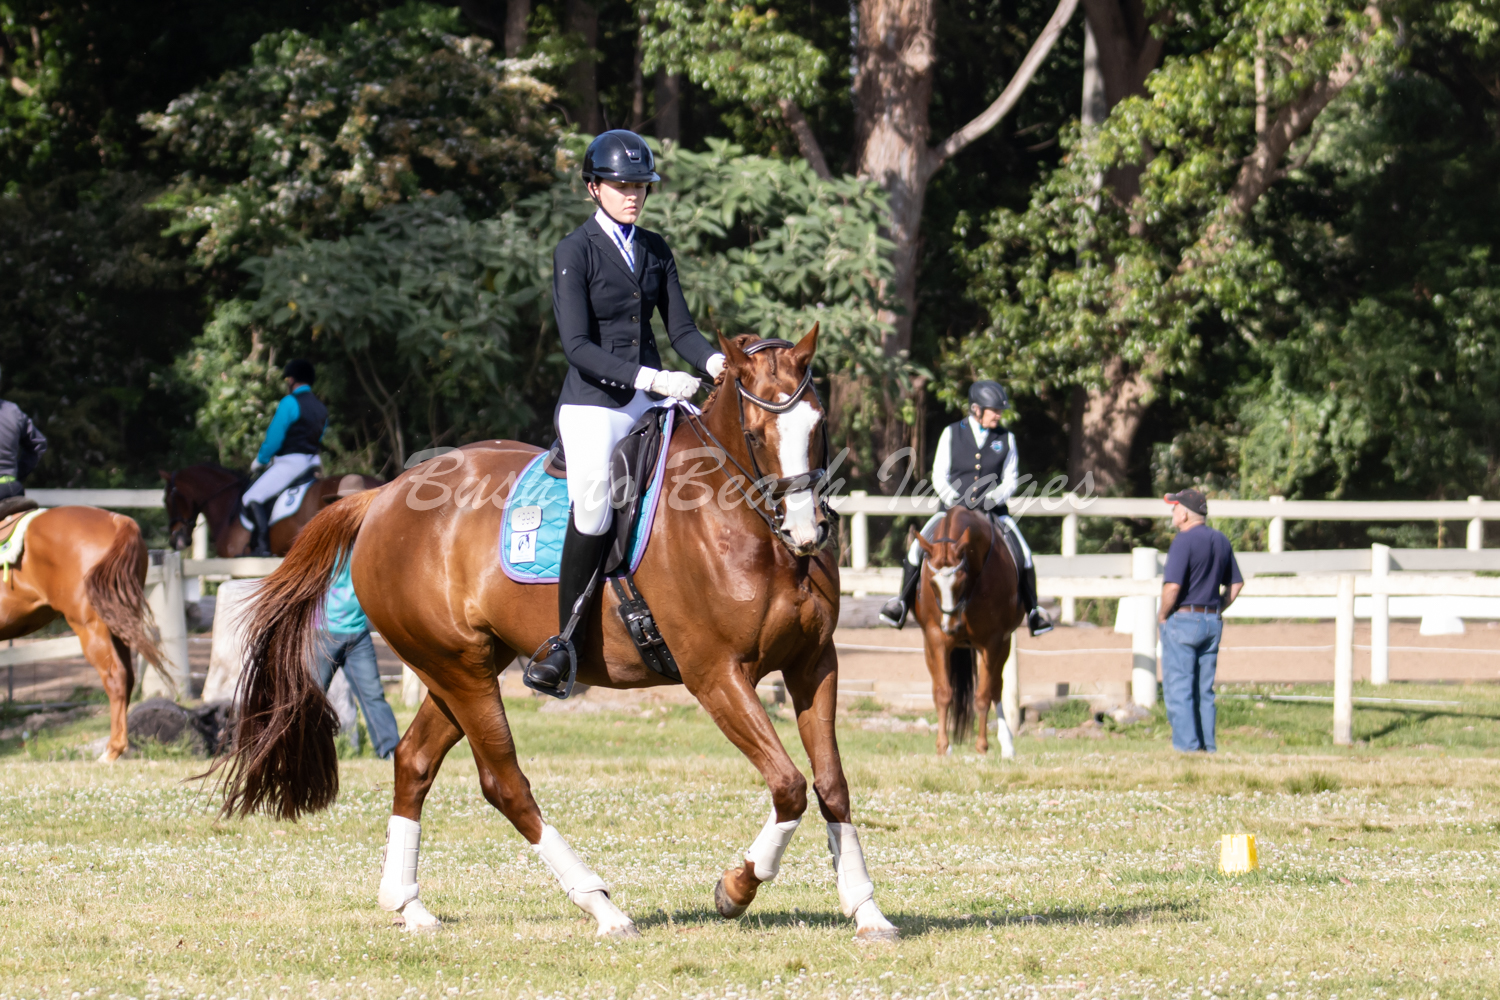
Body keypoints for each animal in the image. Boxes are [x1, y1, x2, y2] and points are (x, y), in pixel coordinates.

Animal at [0, 505, 165, 760]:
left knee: (115, 676)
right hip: (116, 622)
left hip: (90, 626)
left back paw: (112, 750)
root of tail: (118, 521)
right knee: (127, 677)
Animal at [209, 326, 902, 941]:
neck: (742, 525)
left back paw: (409, 906)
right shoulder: (714, 674)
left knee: (414, 762)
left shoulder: (815, 663)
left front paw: (867, 911)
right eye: (757, 433)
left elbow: (832, 786)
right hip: (461, 670)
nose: (807, 534)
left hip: (457, 668)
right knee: (505, 785)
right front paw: (735, 889)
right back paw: (603, 907)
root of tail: (381, 497)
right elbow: (789, 785)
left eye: (817, 424)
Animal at [910, 504, 1023, 757]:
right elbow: (943, 693)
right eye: (932, 584)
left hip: (1004, 644)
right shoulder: (935, 638)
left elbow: (983, 696)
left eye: (961, 580)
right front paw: (943, 746)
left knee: (996, 688)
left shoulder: (992, 641)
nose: (951, 627)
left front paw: (982, 746)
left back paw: (1007, 744)